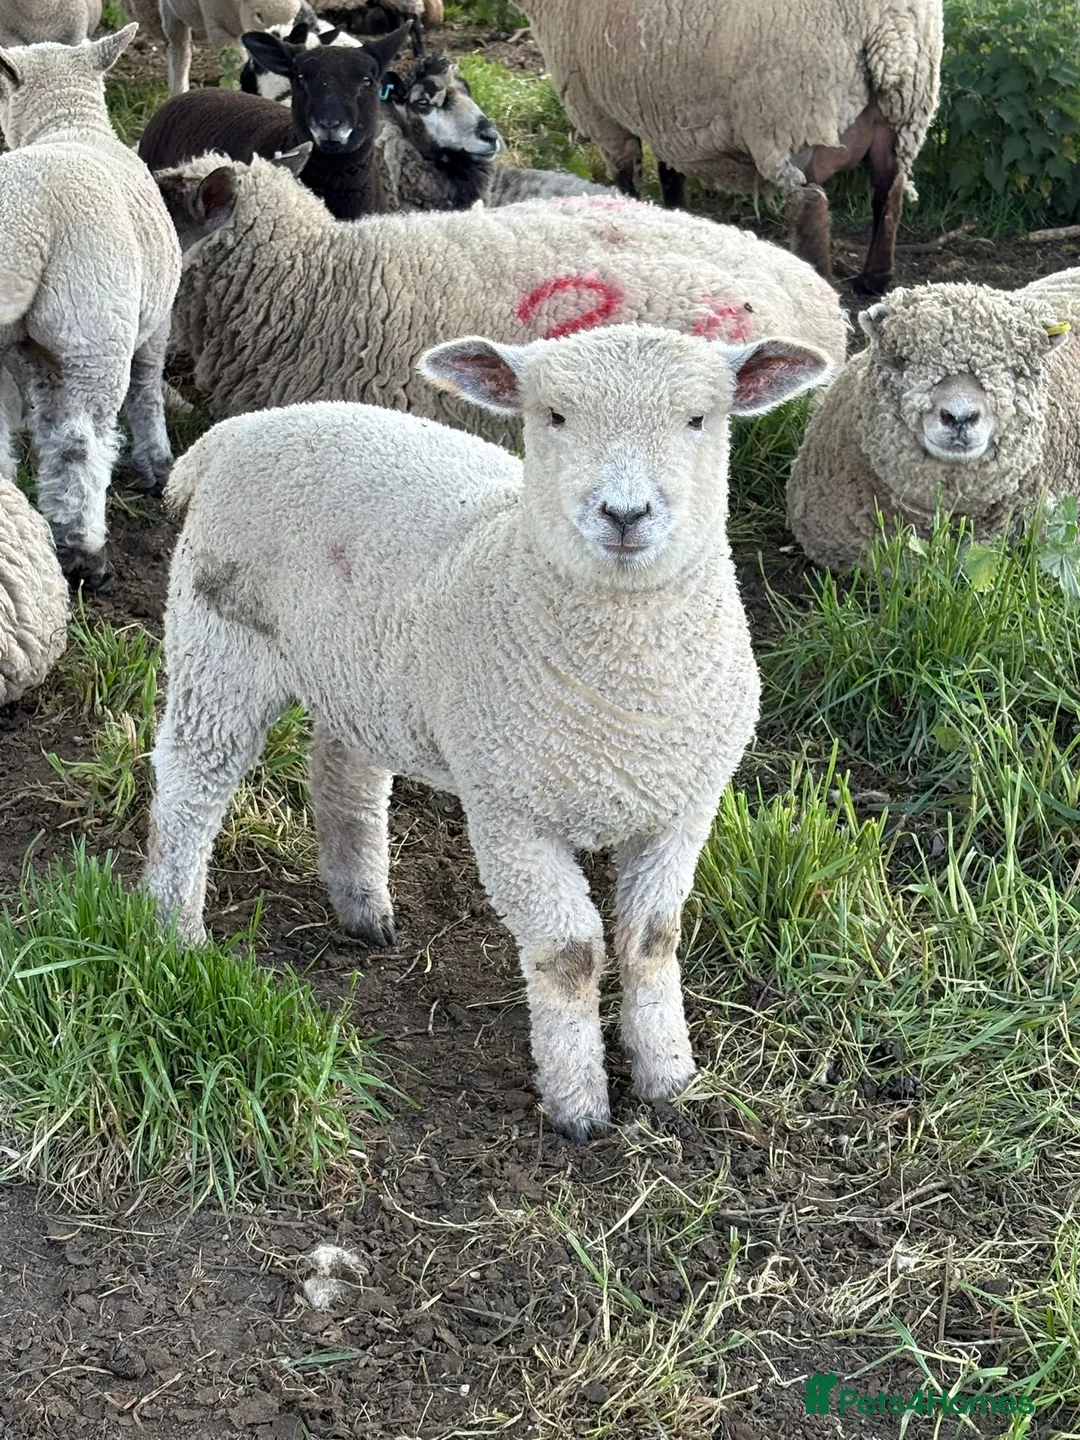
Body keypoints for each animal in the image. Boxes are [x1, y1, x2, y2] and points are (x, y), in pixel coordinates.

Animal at [0, 27, 181, 589]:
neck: (71, 124)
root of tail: (23, 220)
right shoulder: (155, 320)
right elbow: (147, 390)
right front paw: (157, 463)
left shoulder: (37, 353)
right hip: (93, 332)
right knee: (82, 442)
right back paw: (84, 552)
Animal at [143, 323, 831, 1138]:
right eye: (553, 416)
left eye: (699, 419)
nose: (624, 514)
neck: (628, 694)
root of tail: (239, 431)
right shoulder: (510, 814)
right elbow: (569, 955)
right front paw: (579, 1106)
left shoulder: (684, 809)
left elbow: (652, 940)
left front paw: (668, 1076)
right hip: (219, 641)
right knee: (191, 783)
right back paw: (175, 931)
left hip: (362, 670)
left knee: (345, 773)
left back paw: (363, 906)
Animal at [159, 0, 303, 94]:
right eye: (258, 15)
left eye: (298, 15)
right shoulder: (218, 26)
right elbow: (236, 62)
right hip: (171, 12)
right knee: (180, 51)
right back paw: (179, 89)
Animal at [519, 0, 943, 296]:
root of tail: (890, 28)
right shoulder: (667, 113)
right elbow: (670, 172)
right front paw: (676, 214)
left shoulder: (599, 109)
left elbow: (625, 179)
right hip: (902, 118)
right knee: (889, 192)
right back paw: (873, 279)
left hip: (793, 109)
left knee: (810, 204)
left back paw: (819, 277)